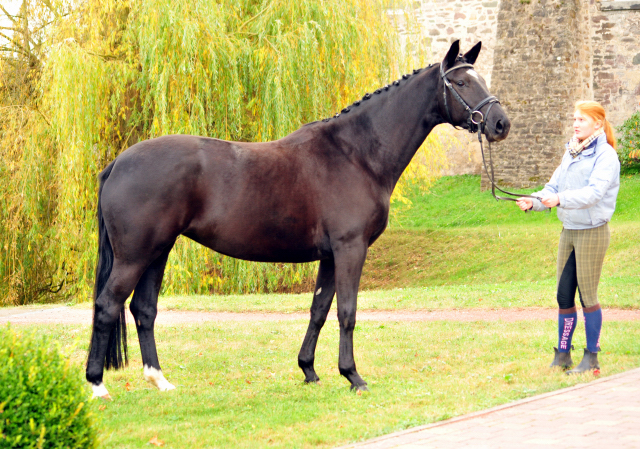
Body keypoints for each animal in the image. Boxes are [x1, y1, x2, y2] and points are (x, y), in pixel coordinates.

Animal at [89, 40, 510, 398]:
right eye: (460, 82)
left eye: (482, 79)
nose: (500, 124)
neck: (356, 154)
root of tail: (117, 163)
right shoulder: (350, 249)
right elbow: (347, 311)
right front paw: (353, 376)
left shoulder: (330, 256)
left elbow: (319, 310)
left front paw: (309, 369)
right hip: (135, 255)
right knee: (108, 304)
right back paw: (97, 385)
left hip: (158, 252)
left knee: (143, 309)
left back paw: (159, 380)